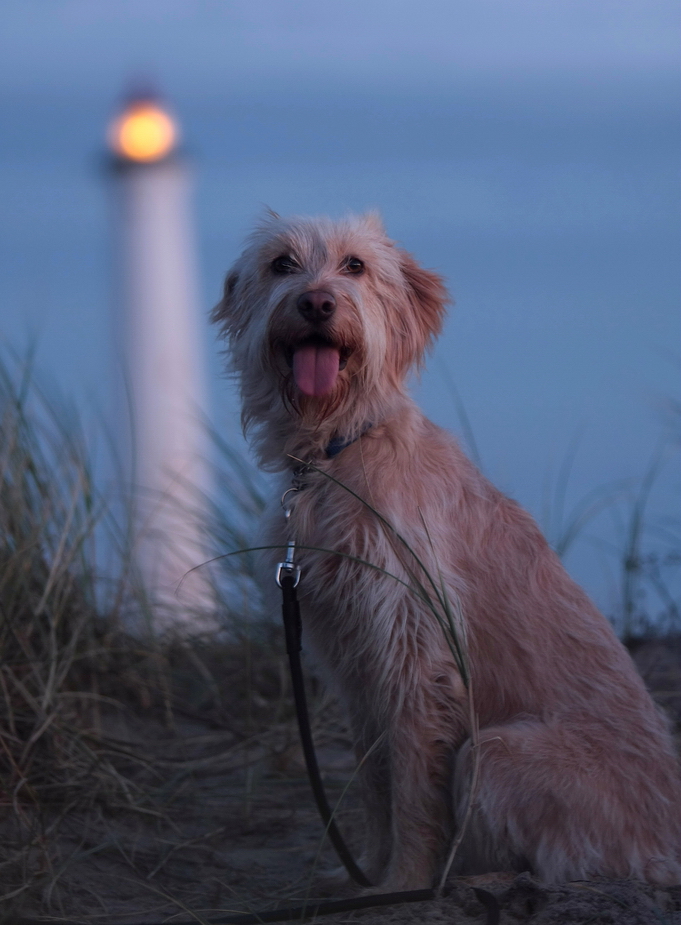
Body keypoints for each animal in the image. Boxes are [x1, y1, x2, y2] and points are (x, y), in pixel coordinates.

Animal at [210, 213, 676, 892]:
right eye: (281, 265)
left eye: (354, 266)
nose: (316, 302)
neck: (338, 451)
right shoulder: (353, 662)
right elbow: (374, 781)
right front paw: (366, 874)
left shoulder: (413, 654)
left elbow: (410, 785)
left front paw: (401, 881)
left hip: (496, 752)